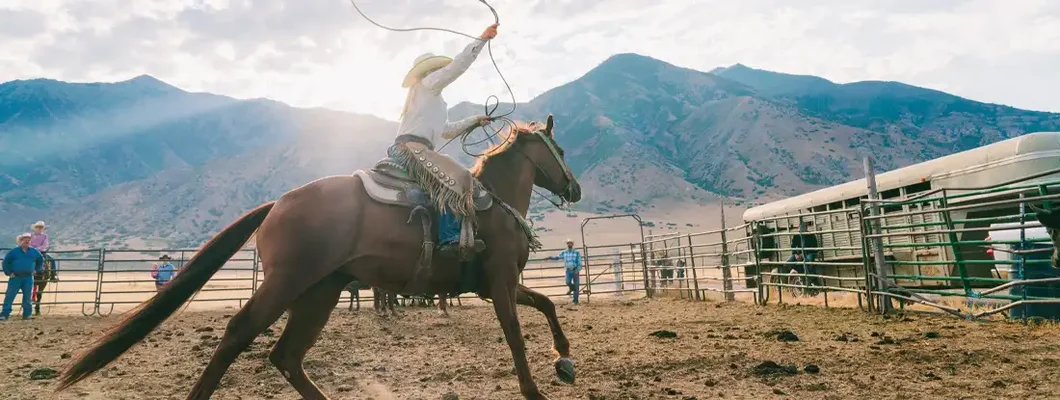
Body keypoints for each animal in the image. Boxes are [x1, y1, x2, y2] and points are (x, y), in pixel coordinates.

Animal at [59, 113, 585, 396]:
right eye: (559, 148)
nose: (575, 189)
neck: (492, 204)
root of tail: (278, 202)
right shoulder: (500, 283)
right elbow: (516, 335)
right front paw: (535, 387)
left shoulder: (498, 285)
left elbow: (547, 303)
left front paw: (564, 357)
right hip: (288, 283)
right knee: (239, 334)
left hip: (319, 293)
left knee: (287, 356)